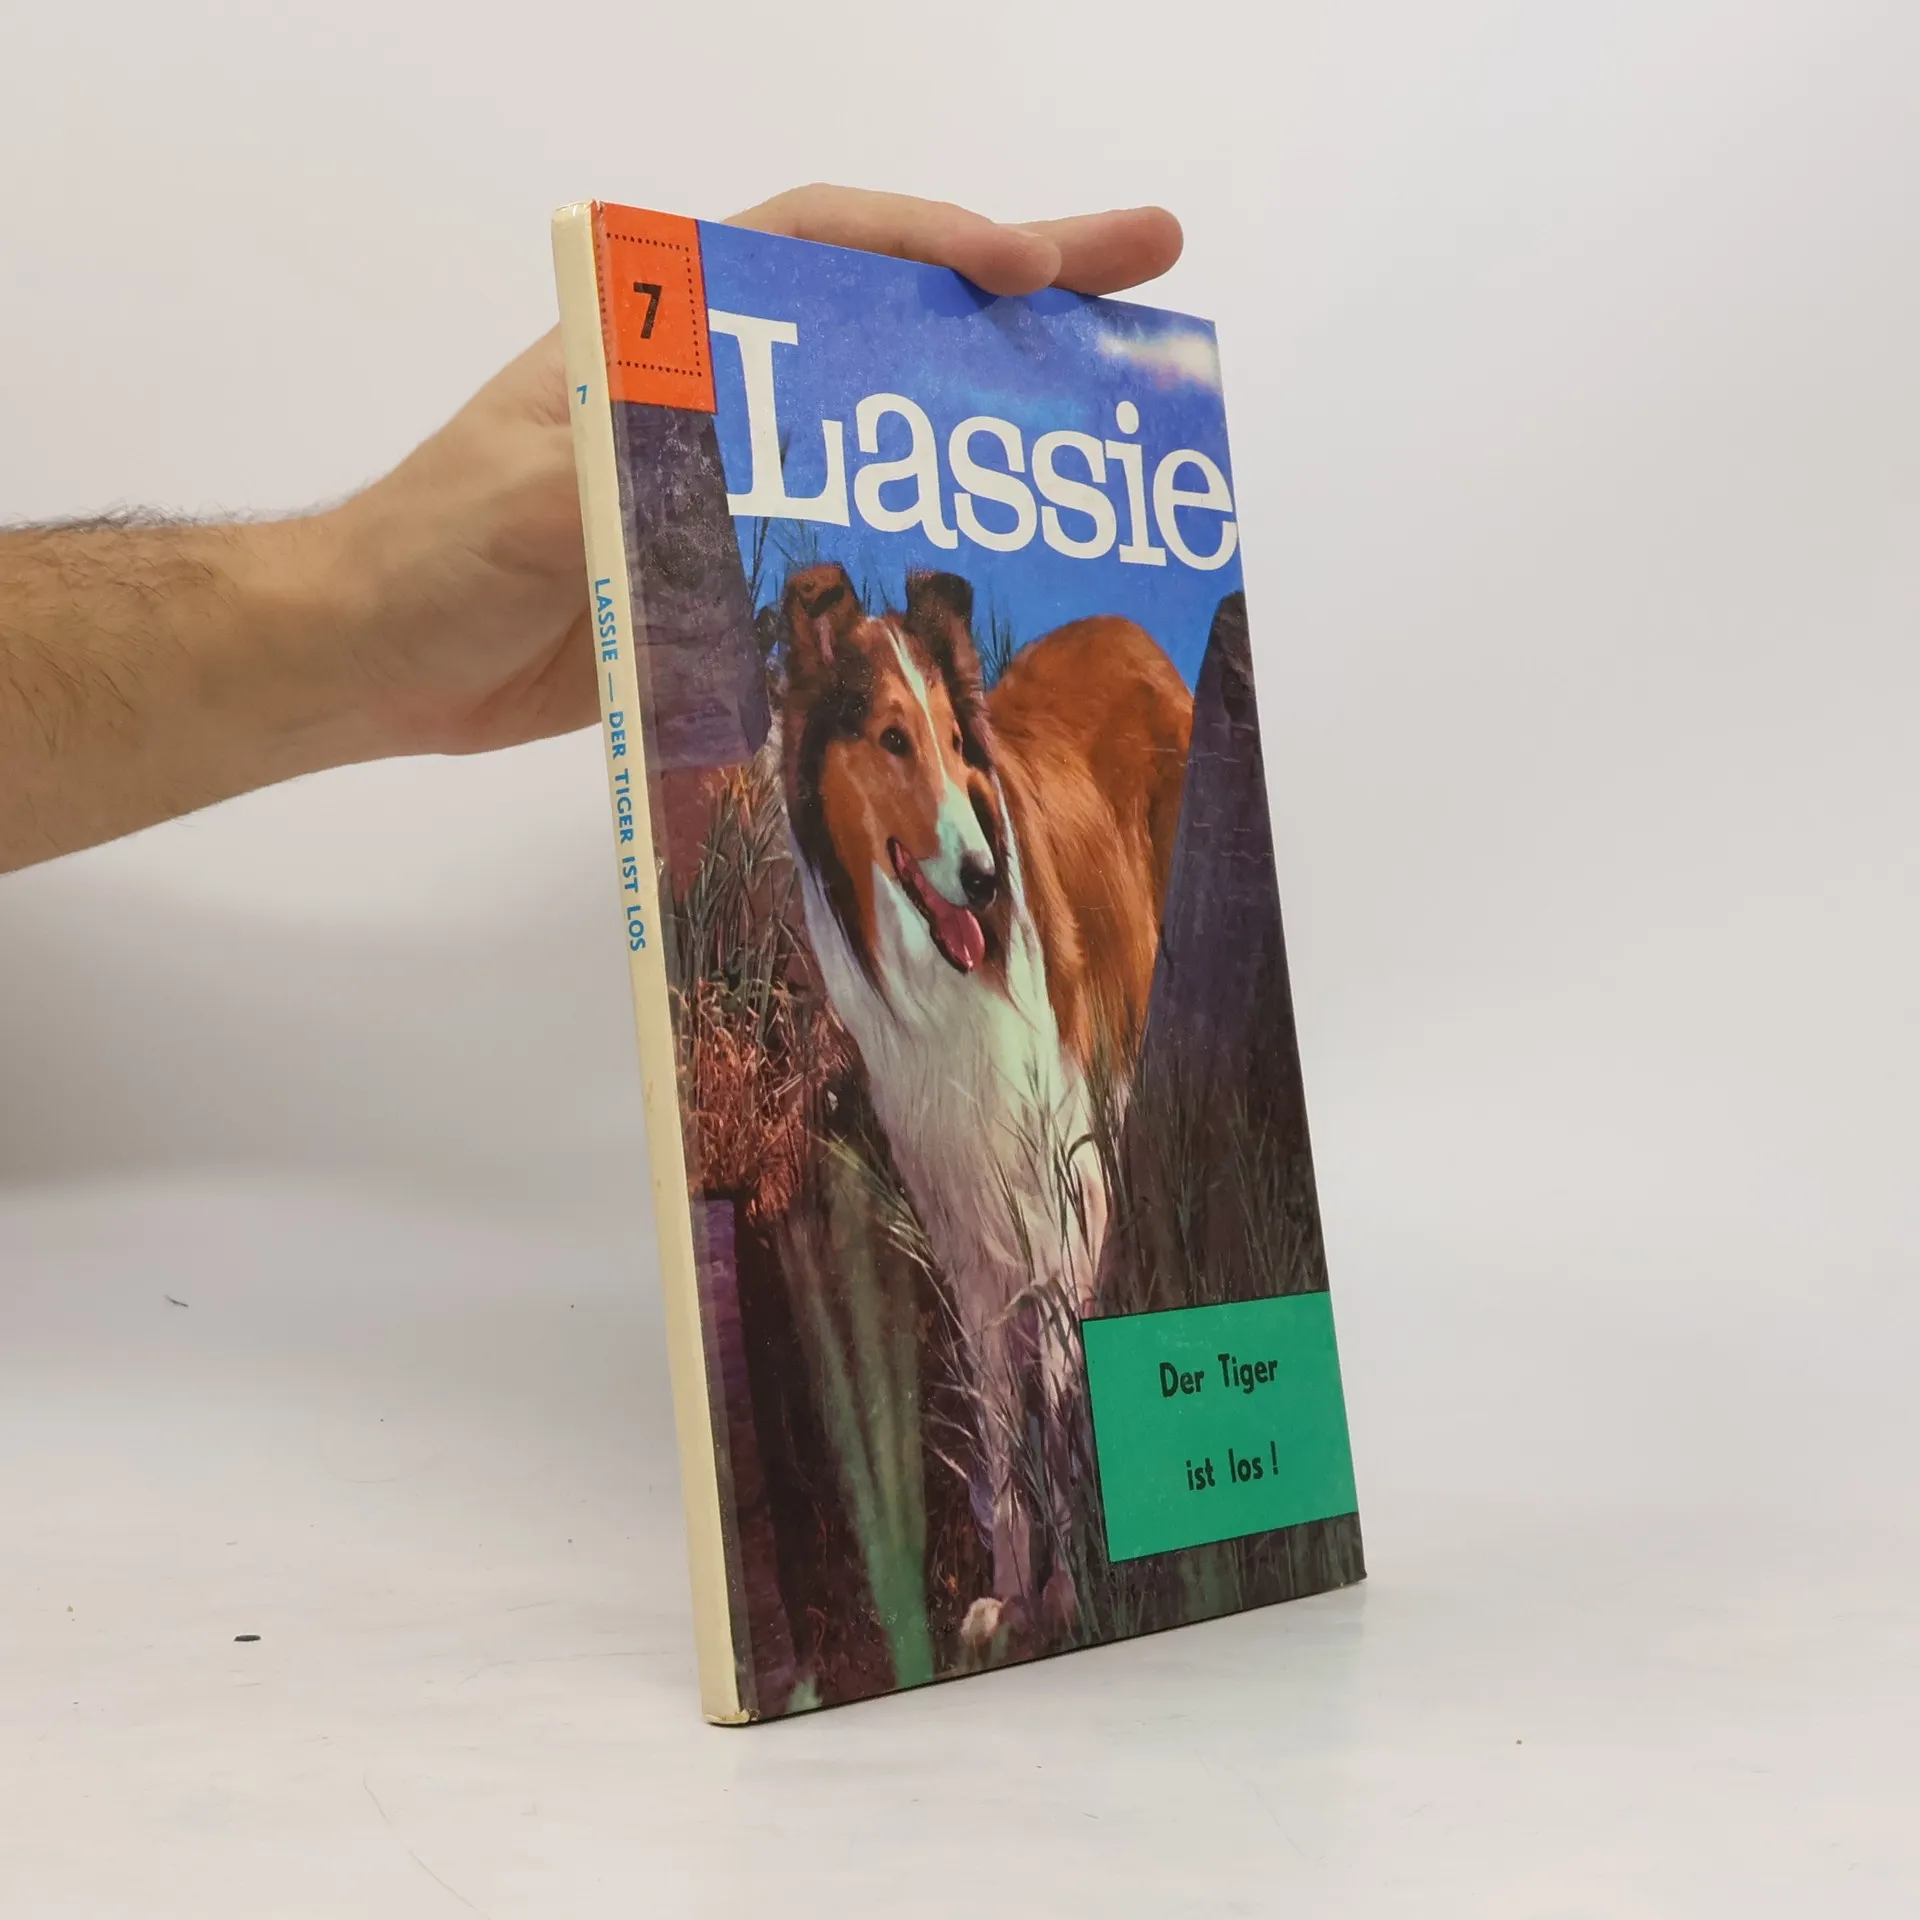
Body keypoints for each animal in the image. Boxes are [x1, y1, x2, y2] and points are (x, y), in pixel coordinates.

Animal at [777, 563, 1192, 1640]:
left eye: (960, 746)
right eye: (891, 738)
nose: (983, 878)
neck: (949, 984)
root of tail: (1127, 628)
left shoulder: (1059, 1192)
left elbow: (1060, 1390)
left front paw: (1075, 1582)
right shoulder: (964, 1217)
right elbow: (1003, 1424)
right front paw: (1011, 1593)